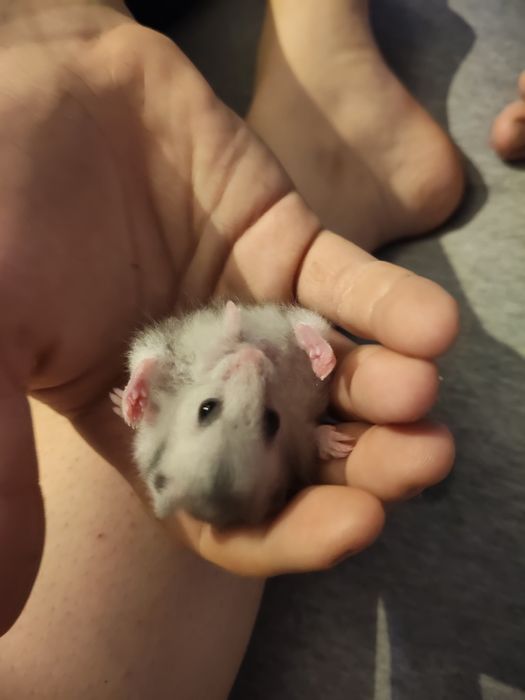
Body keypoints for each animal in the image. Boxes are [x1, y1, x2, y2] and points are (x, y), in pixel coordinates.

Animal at [110, 301, 354, 528]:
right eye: (206, 407)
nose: (255, 355)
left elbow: (312, 432)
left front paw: (343, 445)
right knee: (150, 362)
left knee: (304, 328)